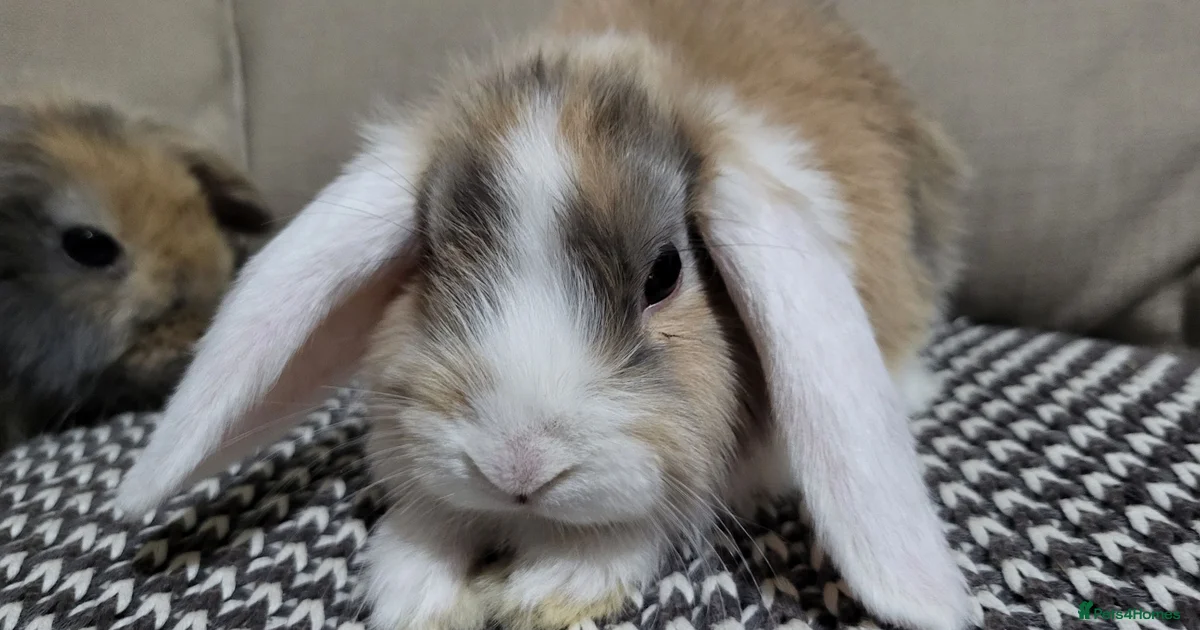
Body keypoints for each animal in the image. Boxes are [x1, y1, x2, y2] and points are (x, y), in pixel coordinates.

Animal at [115, 1, 977, 629]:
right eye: (432, 255)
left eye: (665, 273)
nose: (516, 468)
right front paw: (419, 592)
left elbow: (646, 522)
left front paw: (549, 587)